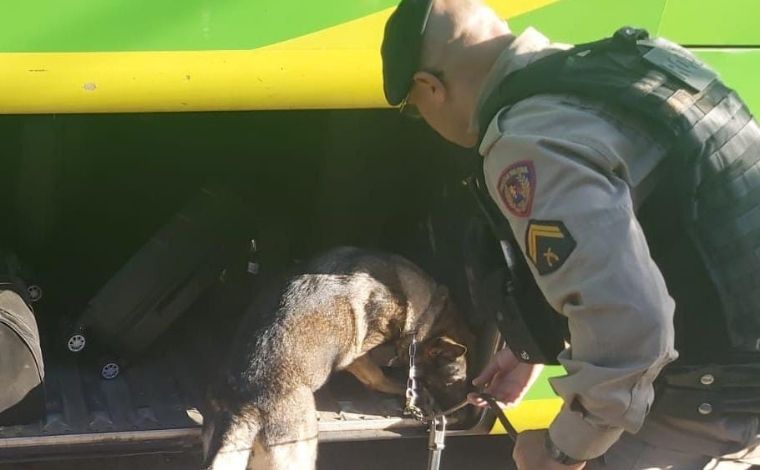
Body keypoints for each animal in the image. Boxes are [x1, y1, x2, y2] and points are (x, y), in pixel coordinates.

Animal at [205, 248, 472, 468]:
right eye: (453, 382)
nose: (464, 416)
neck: (427, 309)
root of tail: (244, 407)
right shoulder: (358, 356)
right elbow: (379, 377)